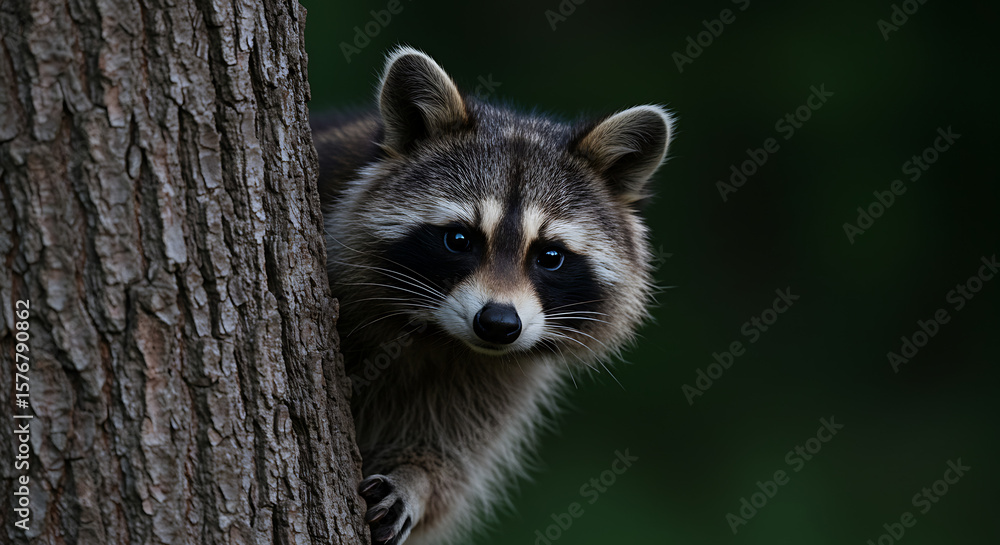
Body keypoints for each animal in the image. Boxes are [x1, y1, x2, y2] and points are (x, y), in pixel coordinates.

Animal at [312, 47, 673, 545]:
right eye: (459, 239)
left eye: (550, 256)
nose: (499, 324)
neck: (437, 337)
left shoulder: (500, 381)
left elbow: (454, 458)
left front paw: (418, 478)